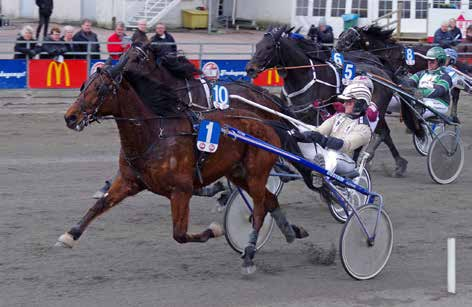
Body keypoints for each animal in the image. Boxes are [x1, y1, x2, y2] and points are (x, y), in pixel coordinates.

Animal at [59, 59, 308, 274]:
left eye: (100, 88)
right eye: (84, 85)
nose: (70, 117)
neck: (154, 134)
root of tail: (267, 123)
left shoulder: (181, 190)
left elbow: (179, 234)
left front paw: (215, 230)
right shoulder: (129, 181)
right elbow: (99, 205)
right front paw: (70, 235)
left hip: (256, 174)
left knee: (258, 210)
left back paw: (248, 254)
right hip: (239, 174)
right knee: (270, 200)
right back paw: (290, 232)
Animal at [247, 25, 410, 178]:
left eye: (269, 47)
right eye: (258, 45)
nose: (250, 69)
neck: (304, 75)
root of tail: (384, 73)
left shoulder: (317, 113)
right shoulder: (293, 112)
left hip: (376, 110)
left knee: (373, 135)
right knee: (384, 133)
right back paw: (396, 164)